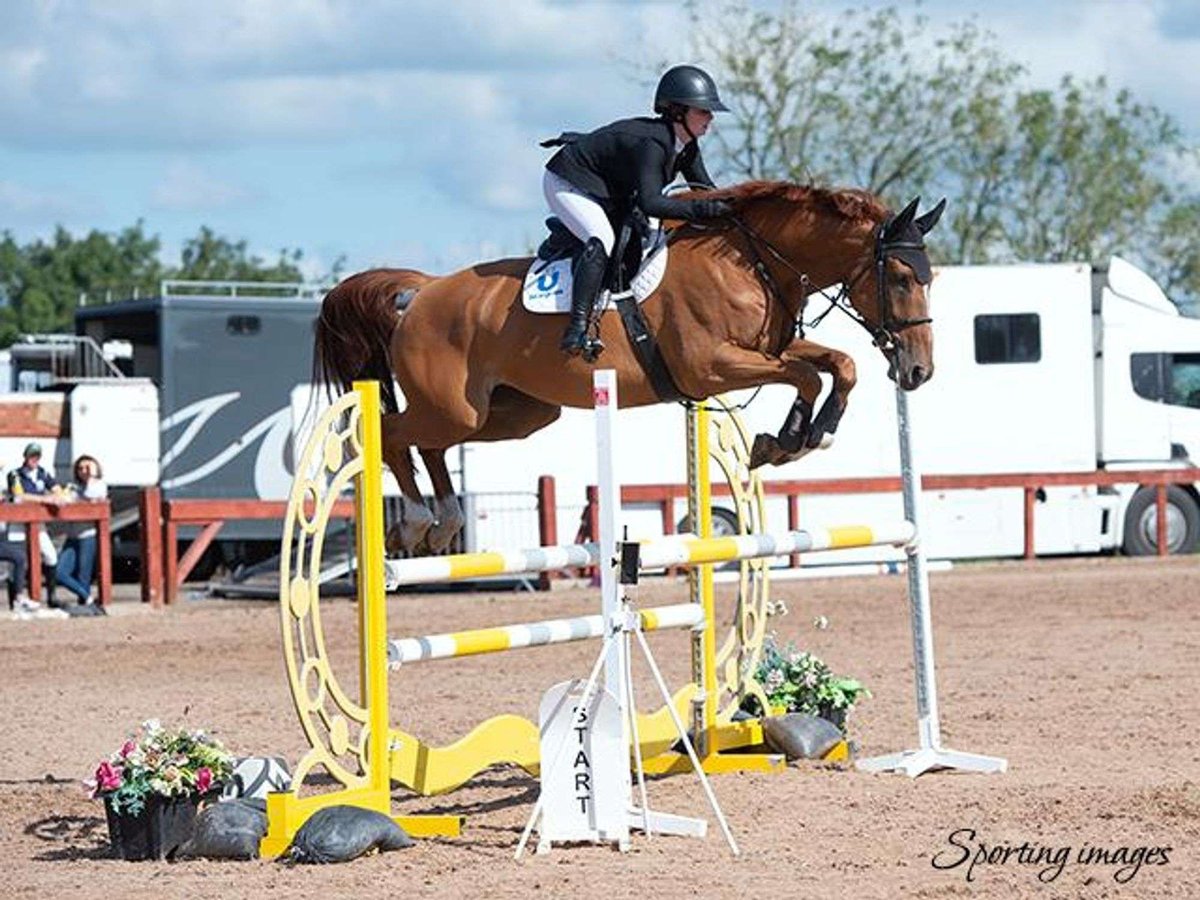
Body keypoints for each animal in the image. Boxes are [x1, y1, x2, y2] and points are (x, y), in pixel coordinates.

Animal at [313, 181, 945, 555]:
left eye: (929, 278)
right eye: (902, 278)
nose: (919, 371)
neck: (751, 260)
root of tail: (418, 294)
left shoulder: (768, 350)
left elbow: (838, 364)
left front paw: (800, 437)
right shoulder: (712, 367)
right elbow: (810, 374)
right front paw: (785, 440)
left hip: (513, 414)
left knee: (431, 445)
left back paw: (443, 517)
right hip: (452, 407)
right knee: (392, 434)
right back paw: (419, 519)